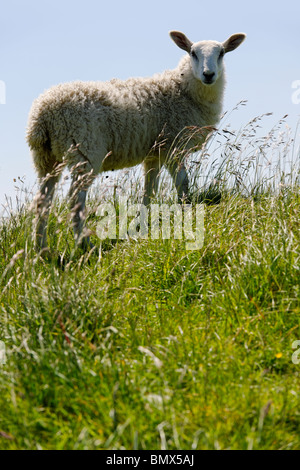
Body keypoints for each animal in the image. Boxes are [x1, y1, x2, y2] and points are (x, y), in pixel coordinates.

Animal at [26, 29, 246, 252]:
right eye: (193, 53)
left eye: (221, 53)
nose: (208, 75)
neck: (183, 90)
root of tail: (44, 113)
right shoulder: (174, 145)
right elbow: (183, 183)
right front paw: (185, 212)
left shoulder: (155, 154)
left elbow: (149, 191)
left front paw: (139, 225)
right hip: (84, 150)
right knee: (75, 200)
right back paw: (84, 244)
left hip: (45, 157)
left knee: (42, 201)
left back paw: (41, 249)